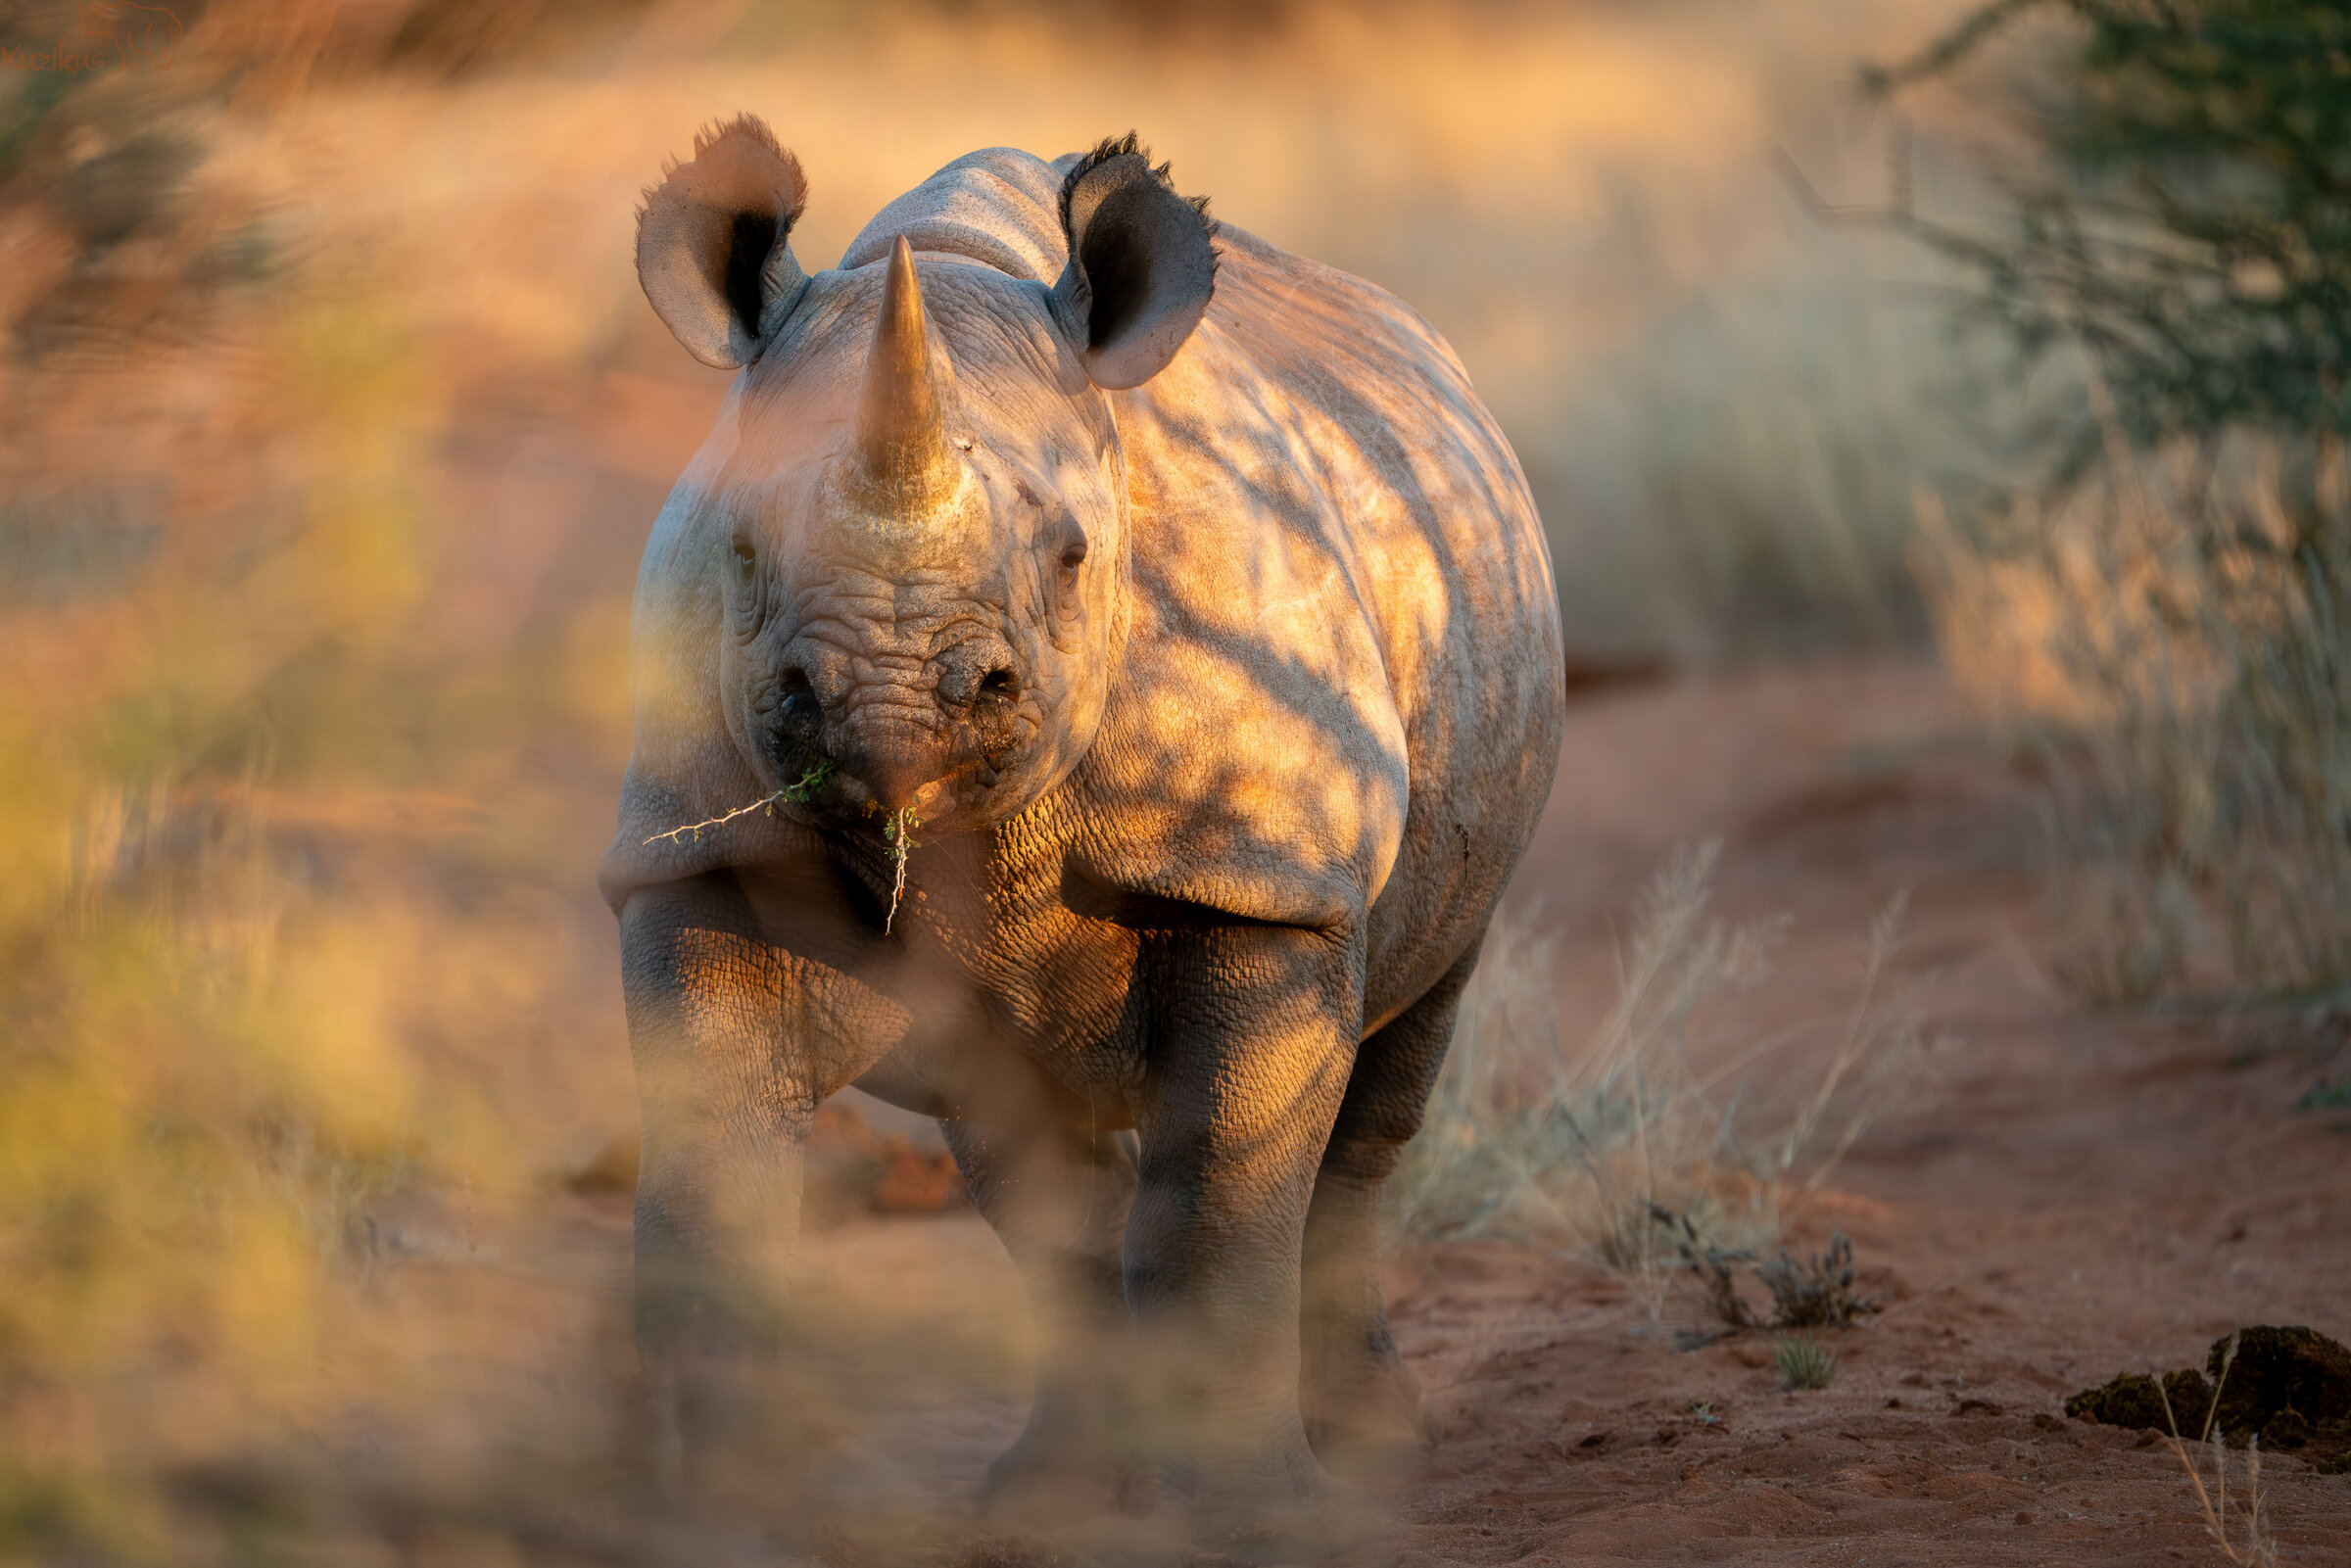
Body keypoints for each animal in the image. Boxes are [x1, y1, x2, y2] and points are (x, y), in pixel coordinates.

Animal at [599, 118, 1563, 1554]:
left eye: (1069, 559)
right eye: (744, 553)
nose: (889, 708)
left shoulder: (1261, 875)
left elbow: (1227, 1199)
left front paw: (1261, 1523)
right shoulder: (698, 853)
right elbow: (713, 1182)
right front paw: (718, 1515)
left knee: (1390, 1068)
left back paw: (1375, 1448)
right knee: (1036, 1175)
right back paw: (1045, 1496)